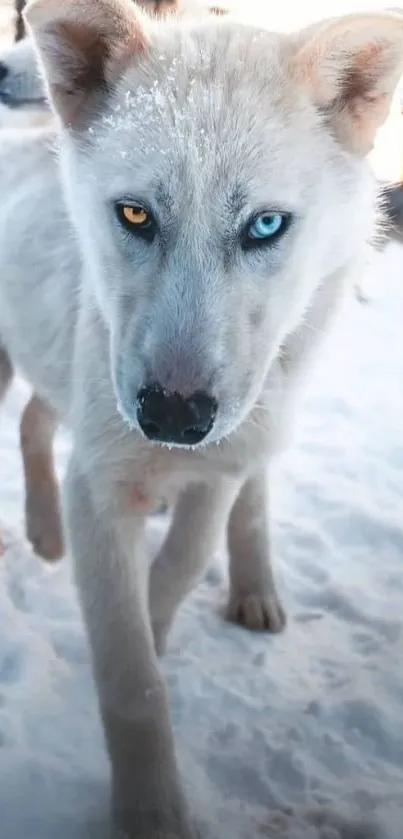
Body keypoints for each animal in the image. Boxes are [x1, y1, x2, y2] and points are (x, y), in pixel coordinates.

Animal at [0, 0, 403, 836]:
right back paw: (43, 532)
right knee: (30, 425)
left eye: (264, 226)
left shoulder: (220, 464)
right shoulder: (102, 479)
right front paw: (151, 812)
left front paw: (161, 625)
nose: (171, 416)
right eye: (134, 213)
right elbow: (131, 680)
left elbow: (179, 568)